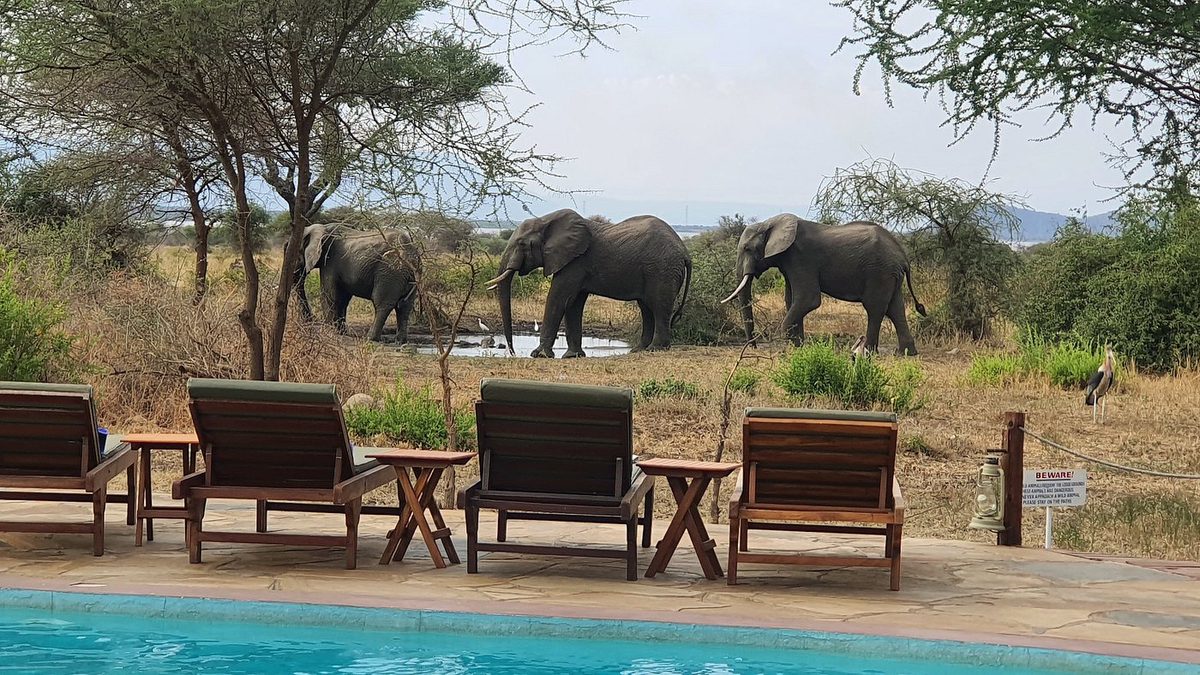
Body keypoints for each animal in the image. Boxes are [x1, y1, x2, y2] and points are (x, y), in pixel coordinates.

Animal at [291, 224, 419, 343]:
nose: (309, 320)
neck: (321, 228)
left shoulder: (330, 261)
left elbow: (329, 295)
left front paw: (329, 331)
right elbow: (342, 299)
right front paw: (341, 332)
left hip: (390, 271)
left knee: (382, 304)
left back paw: (370, 338)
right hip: (409, 276)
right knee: (405, 306)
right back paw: (400, 341)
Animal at [485, 209, 692, 358]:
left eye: (521, 244)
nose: (512, 353)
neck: (546, 220)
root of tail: (685, 252)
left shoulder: (575, 262)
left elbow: (559, 298)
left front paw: (539, 355)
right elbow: (574, 304)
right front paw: (573, 356)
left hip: (662, 270)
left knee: (659, 306)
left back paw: (655, 349)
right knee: (647, 308)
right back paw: (639, 350)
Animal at [721, 214, 927, 354]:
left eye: (747, 248)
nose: (754, 346)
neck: (770, 223)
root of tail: (903, 256)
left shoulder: (801, 258)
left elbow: (808, 300)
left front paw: (791, 346)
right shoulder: (789, 263)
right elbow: (791, 300)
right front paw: (799, 347)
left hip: (879, 272)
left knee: (875, 308)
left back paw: (869, 353)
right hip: (891, 275)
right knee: (895, 308)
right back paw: (905, 353)